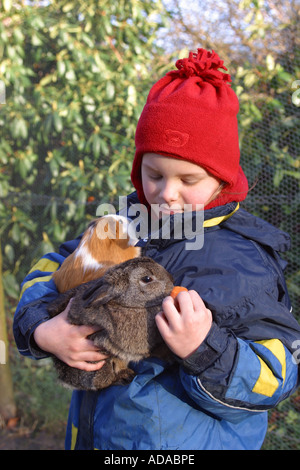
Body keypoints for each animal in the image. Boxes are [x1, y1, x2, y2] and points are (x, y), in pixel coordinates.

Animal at [46, 255, 173, 392]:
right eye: (147, 279)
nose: (171, 281)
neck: (125, 304)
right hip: (99, 364)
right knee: (101, 382)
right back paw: (124, 377)